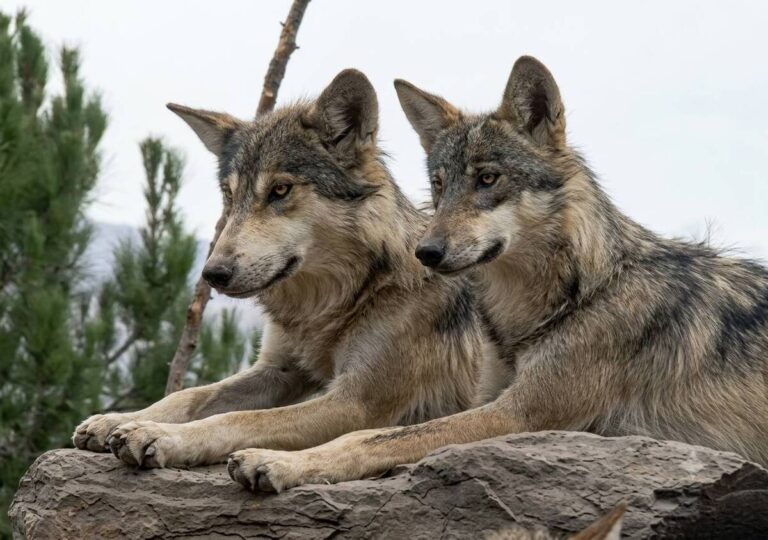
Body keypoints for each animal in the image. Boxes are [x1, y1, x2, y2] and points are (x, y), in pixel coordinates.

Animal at [72, 69, 487, 468]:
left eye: (281, 190)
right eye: (230, 194)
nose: (213, 274)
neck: (345, 295)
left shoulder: (357, 402)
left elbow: (237, 420)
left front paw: (158, 435)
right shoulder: (278, 370)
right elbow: (187, 396)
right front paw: (120, 419)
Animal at [225, 56, 768, 494]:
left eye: (488, 179)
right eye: (438, 185)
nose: (425, 252)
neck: (578, 291)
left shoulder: (520, 413)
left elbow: (370, 436)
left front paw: (276, 462)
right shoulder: (487, 397)